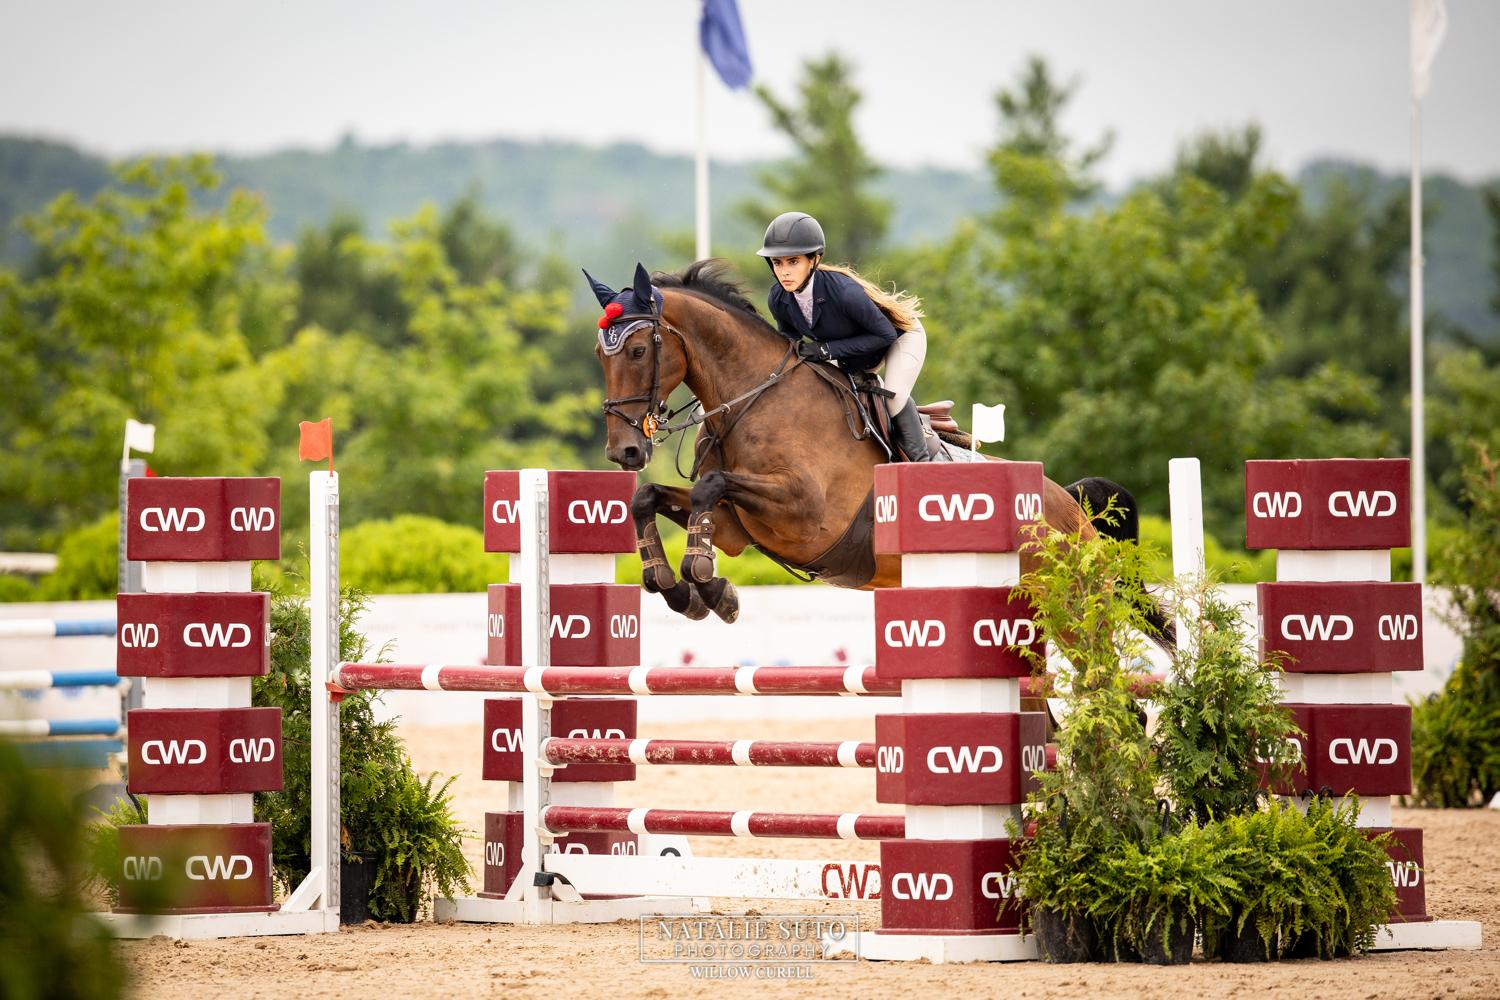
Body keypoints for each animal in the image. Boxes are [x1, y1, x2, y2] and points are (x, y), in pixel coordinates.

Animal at [593, 260, 1159, 634]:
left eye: (638, 350)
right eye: (601, 355)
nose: (624, 453)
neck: (753, 398)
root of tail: (1074, 510)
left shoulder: (802, 510)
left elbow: (709, 486)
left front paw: (706, 583)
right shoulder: (737, 527)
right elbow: (647, 498)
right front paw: (677, 588)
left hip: (1074, 612)